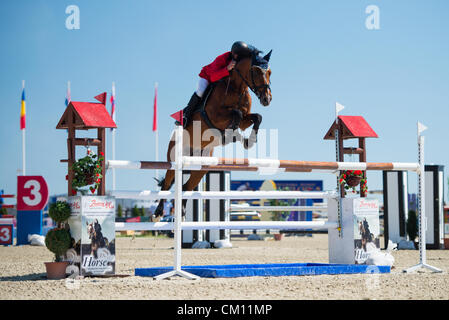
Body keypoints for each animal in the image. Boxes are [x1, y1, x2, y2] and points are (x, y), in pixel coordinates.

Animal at [152, 49, 272, 218]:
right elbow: (236, 114)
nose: (267, 99)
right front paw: (233, 133)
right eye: (256, 71)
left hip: (202, 167)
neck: (238, 88)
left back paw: (182, 212)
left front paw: (247, 141)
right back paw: (158, 211)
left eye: (269, 72)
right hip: (174, 159)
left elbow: (256, 117)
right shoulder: (215, 117)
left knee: (186, 187)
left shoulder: (245, 119)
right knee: (168, 182)